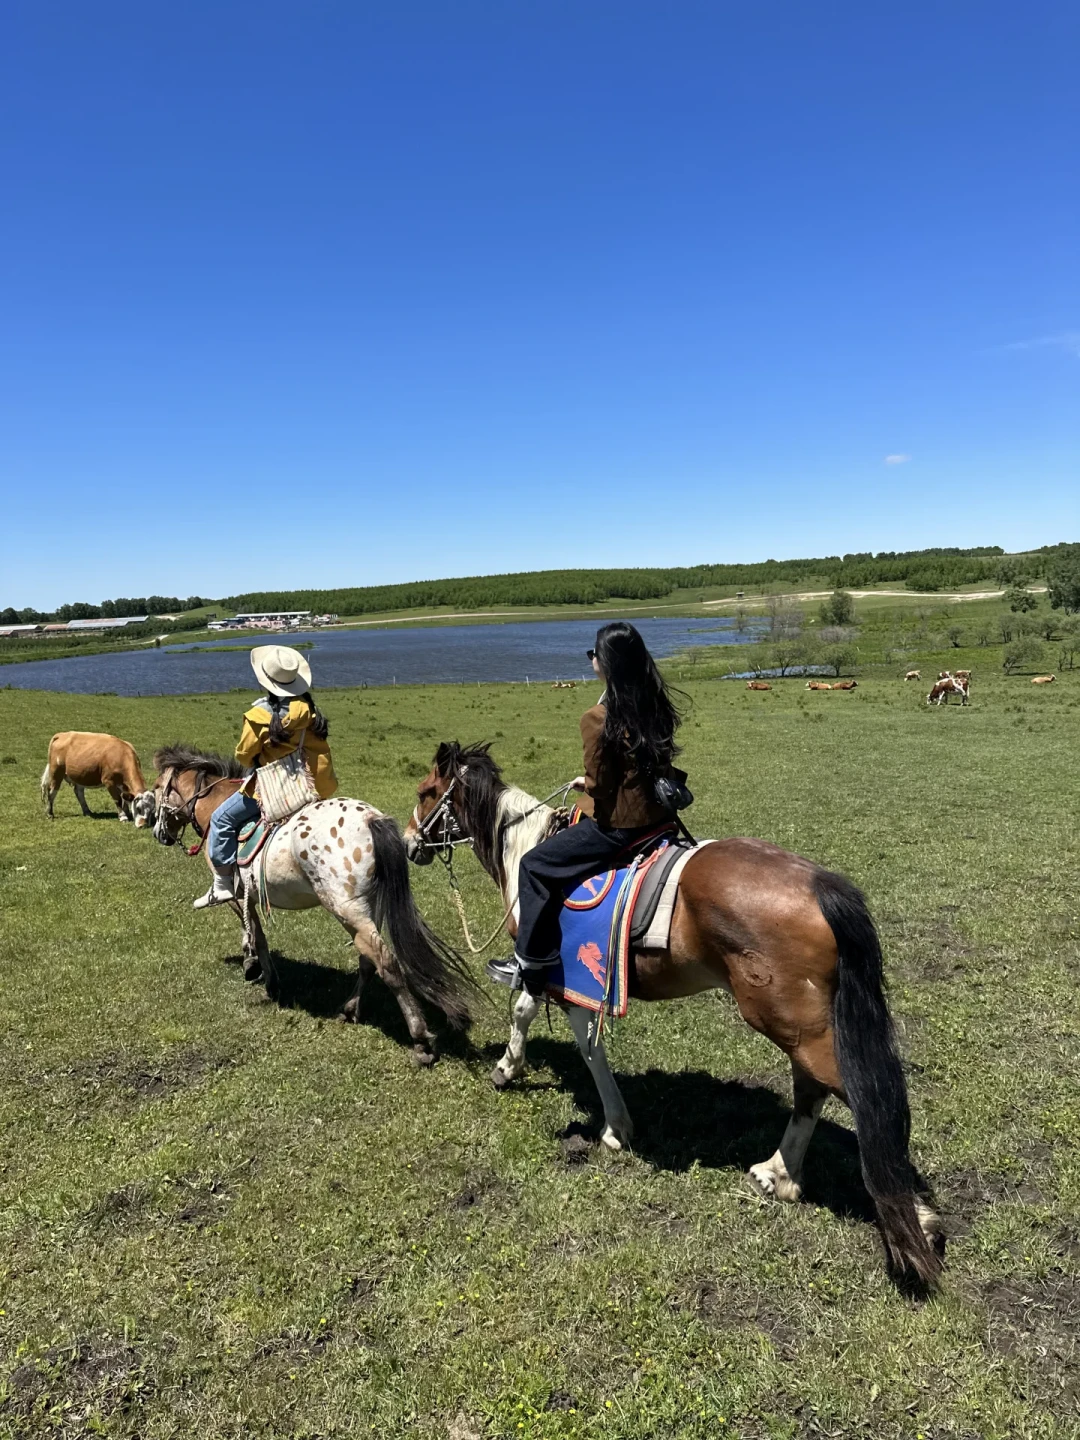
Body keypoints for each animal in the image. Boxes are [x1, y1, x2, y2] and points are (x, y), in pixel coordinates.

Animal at [151, 744, 474, 1063]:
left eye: (155, 788)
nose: (158, 833)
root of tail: (371, 820)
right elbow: (254, 931)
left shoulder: (236, 895)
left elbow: (254, 933)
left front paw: (260, 973)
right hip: (371, 907)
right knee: (368, 959)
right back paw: (350, 1010)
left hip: (347, 910)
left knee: (386, 962)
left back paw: (420, 1041)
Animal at [403, 741, 944, 1292]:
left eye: (426, 792)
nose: (408, 842)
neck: (524, 849)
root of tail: (818, 884)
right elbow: (543, 1018)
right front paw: (522, 1073)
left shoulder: (557, 971)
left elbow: (561, 1032)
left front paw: (602, 1120)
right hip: (800, 1025)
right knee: (812, 1090)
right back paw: (780, 1175)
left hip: (793, 1023)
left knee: (862, 1099)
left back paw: (916, 1218)